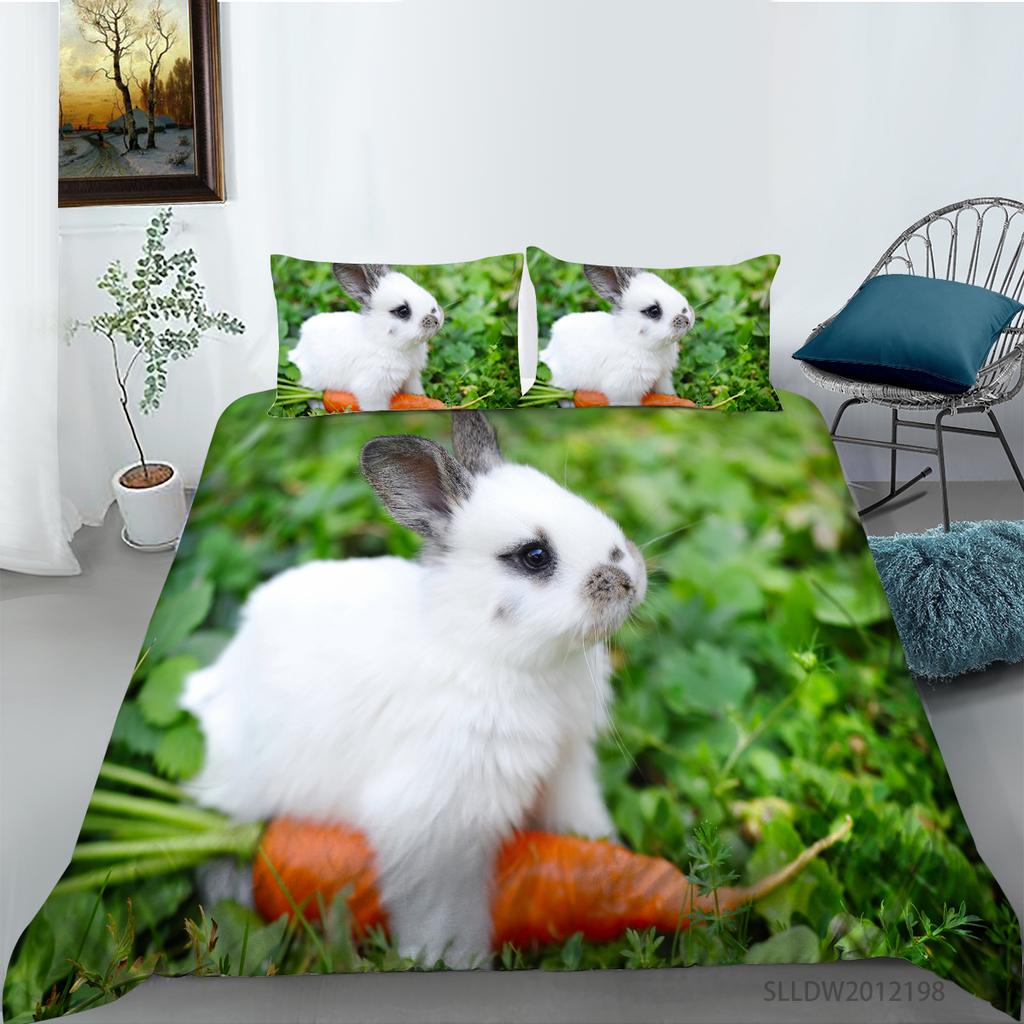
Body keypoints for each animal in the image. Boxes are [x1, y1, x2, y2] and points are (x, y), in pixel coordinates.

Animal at [181, 411, 647, 970]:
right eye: (535, 555)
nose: (629, 578)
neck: (489, 651)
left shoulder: (565, 769)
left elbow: (582, 824)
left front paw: (612, 857)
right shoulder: (437, 827)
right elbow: (445, 918)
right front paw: (450, 964)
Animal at [289, 263, 444, 411]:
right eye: (403, 311)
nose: (436, 318)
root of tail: (298, 349)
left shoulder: (411, 377)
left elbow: (415, 392)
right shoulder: (372, 390)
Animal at [540, 265, 695, 405]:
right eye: (654, 310)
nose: (687, 318)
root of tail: (548, 350)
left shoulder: (663, 377)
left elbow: (666, 391)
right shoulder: (624, 390)